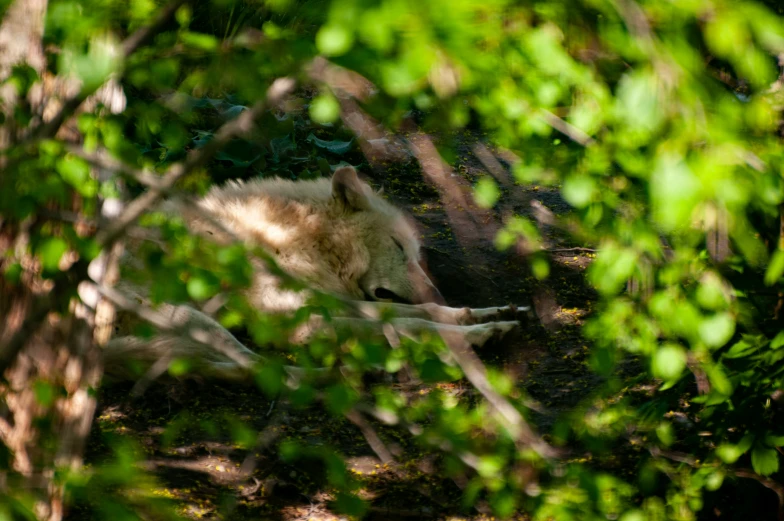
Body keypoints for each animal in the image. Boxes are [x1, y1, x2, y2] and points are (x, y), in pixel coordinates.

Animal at [104, 167, 528, 382]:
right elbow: (411, 326)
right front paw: (479, 334)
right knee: (259, 368)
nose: (437, 292)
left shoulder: (324, 298)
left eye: (415, 252)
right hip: (191, 320)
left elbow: (413, 314)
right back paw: (348, 373)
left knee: (230, 368)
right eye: (397, 245)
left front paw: (485, 314)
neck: (295, 232)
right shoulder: (296, 321)